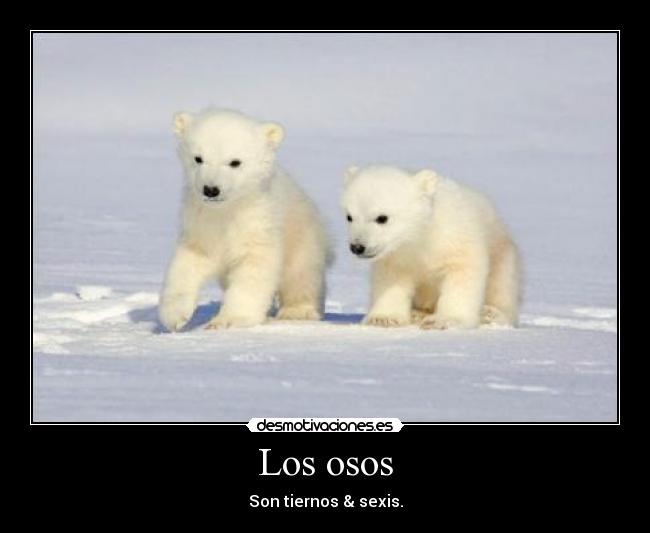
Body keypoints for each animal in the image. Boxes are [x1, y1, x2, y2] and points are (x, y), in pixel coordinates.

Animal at [159, 109, 331, 331]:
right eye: (198, 158)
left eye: (235, 162)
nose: (211, 189)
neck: (227, 210)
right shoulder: (200, 223)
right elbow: (187, 263)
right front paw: (174, 316)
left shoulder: (257, 223)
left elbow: (253, 269)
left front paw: (227, 320)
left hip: (302, 235)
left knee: (302, 274)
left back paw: (298, 312)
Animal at [341, 165, 520, 329]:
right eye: (349, 216)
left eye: (382, 218)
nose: (357, 247)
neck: (421, 236)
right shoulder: (396, 255)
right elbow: (391, 279)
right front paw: (383, 318)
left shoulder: (455, 237)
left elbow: (462, 272)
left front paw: (445, 320)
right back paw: (417, 313)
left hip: (502, 254)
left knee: (502, 287)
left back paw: (490, 314)